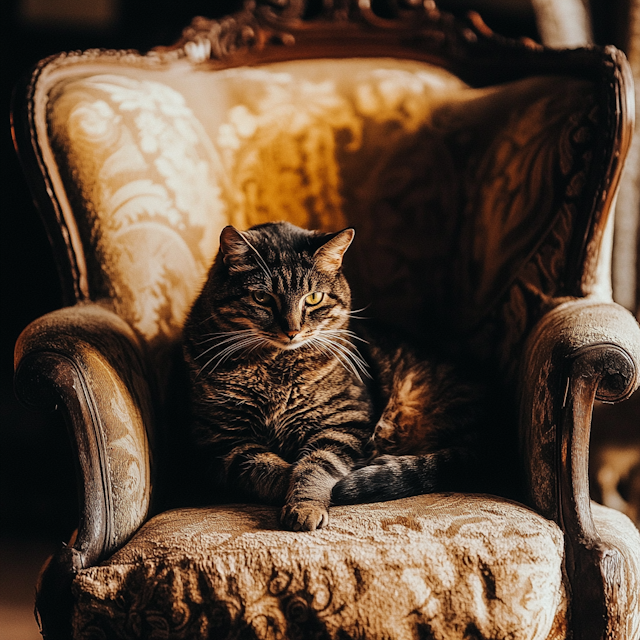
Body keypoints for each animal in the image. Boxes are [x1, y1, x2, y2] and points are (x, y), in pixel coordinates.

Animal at [182, 222, 482, 532]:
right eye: (262, 298)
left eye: (314, 298)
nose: (292, 331)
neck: (276, 367)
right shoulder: (222, 441)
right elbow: (270, 469)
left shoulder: (344, 423)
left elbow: (316, 466)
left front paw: (306, 506)